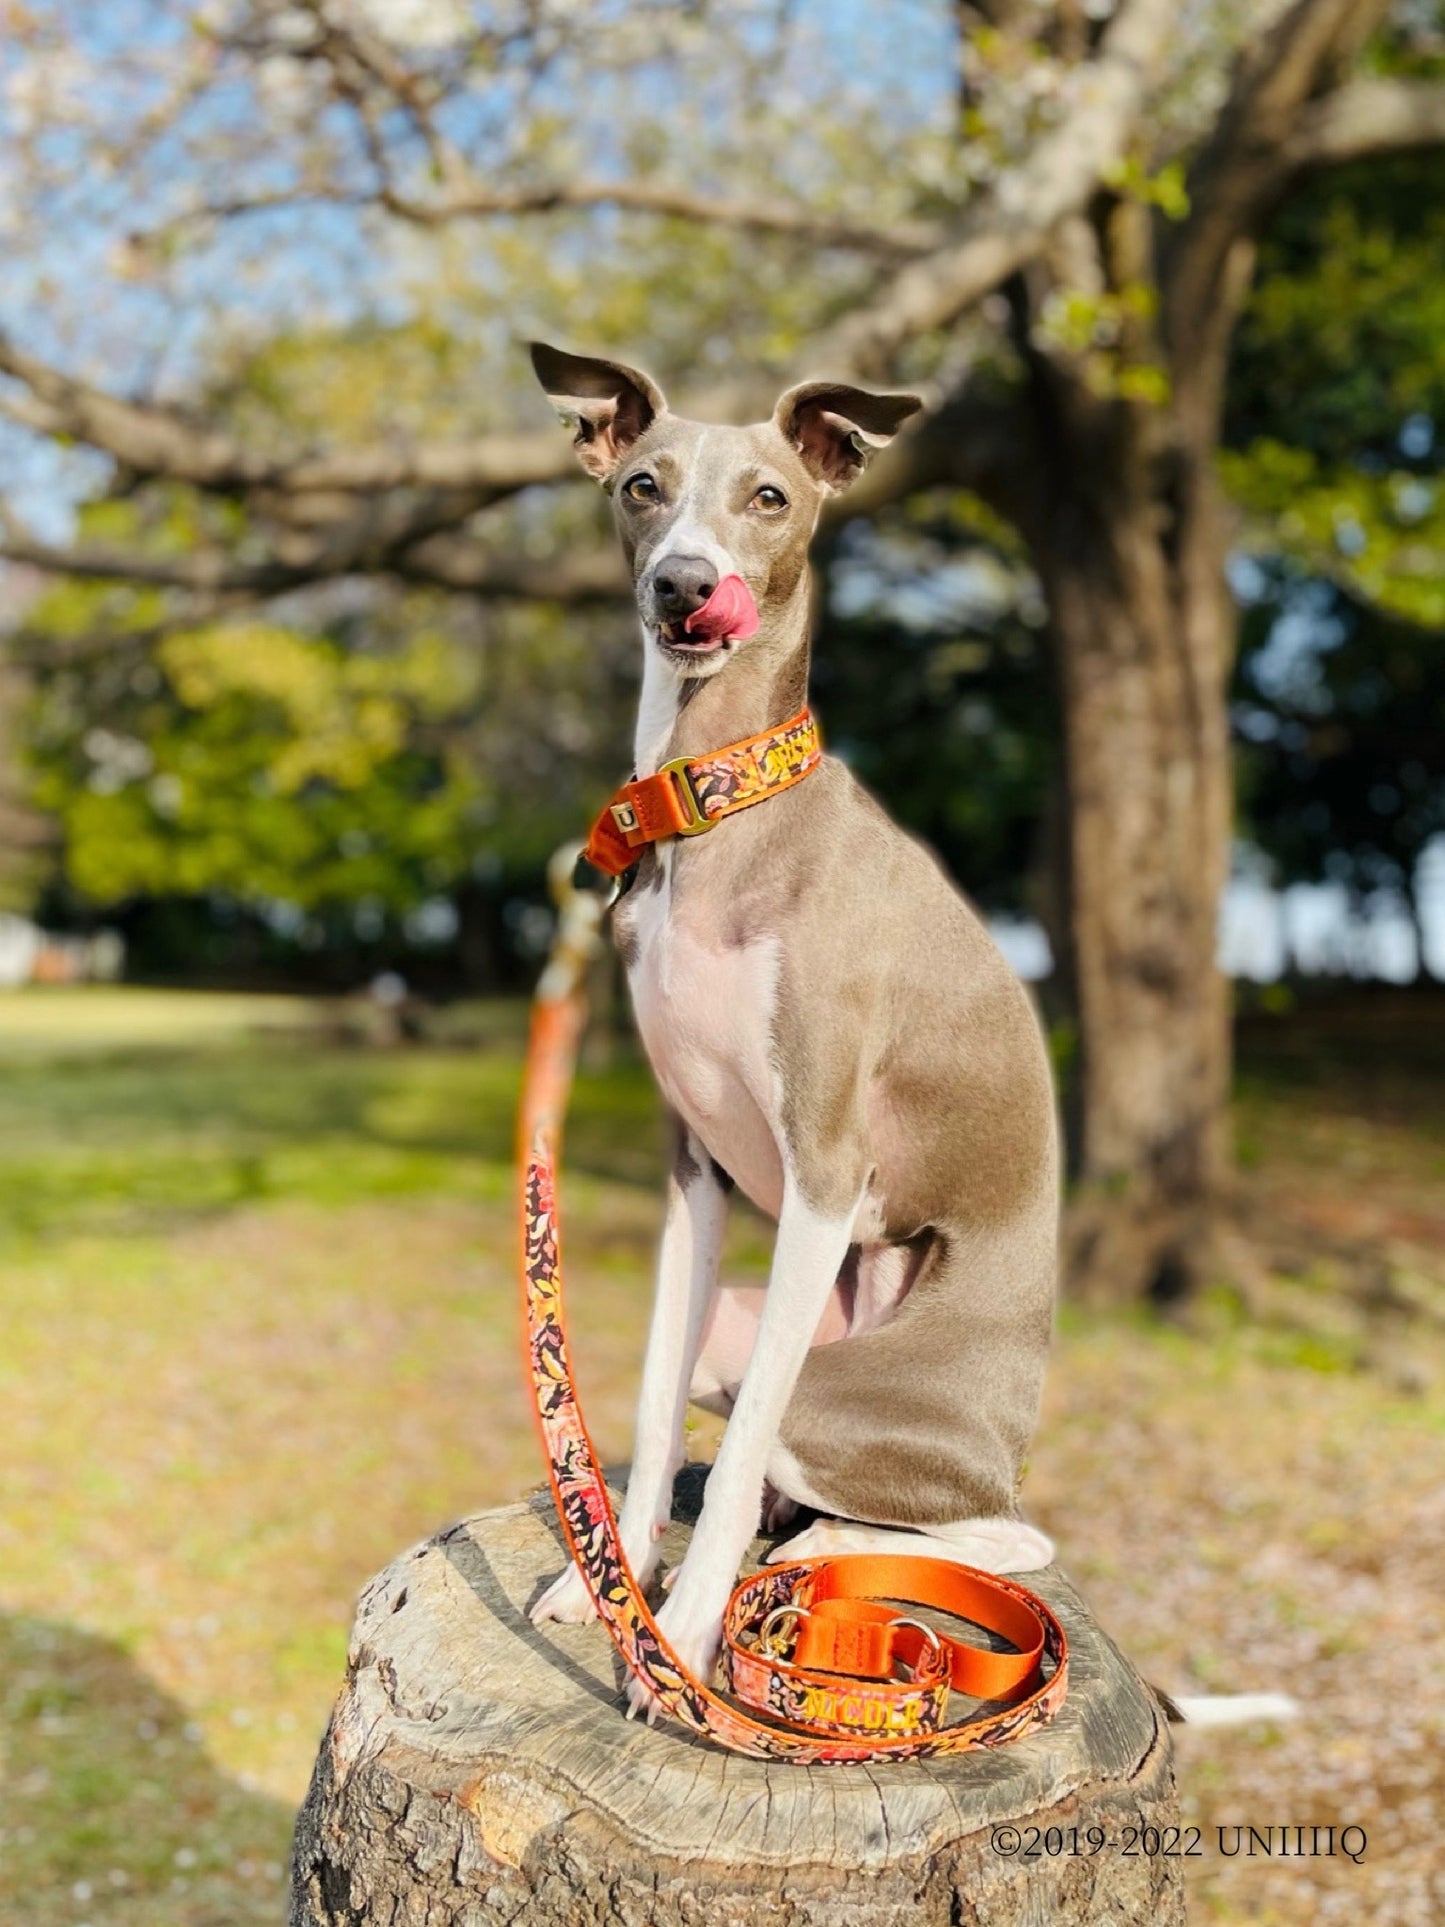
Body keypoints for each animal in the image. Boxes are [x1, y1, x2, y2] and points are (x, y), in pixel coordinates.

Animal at [527, 343, 1055, 1718]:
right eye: (643, 484)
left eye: (769, 497)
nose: (683, 585)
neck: (716, 804)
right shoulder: (692, 1168)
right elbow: (653, 1411)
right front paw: (604, 1590)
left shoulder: (824, 1168)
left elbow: (739, 1445)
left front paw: (681, 1635)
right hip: (752, 1320)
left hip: (851, 1397)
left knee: (981, 1527)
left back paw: (820, 1543)